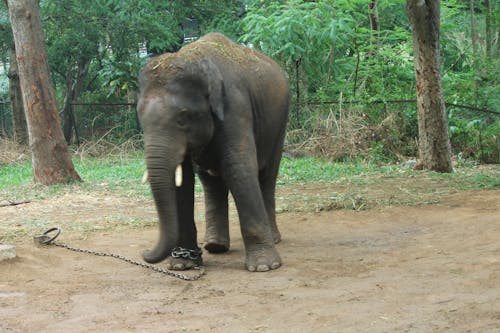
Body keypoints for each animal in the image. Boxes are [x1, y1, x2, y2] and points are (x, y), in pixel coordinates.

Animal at [137, 32, 290, 272]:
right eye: (140, 118)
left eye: (183, 117)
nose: (144, 253)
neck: (195, 60)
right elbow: (182, 182)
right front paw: (182, 264)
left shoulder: (235, 106)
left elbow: (238, 169)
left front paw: (264, 267)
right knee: (211, 182)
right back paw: (215, 246)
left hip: (280, 123)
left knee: (267, 176)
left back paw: (273, 239)